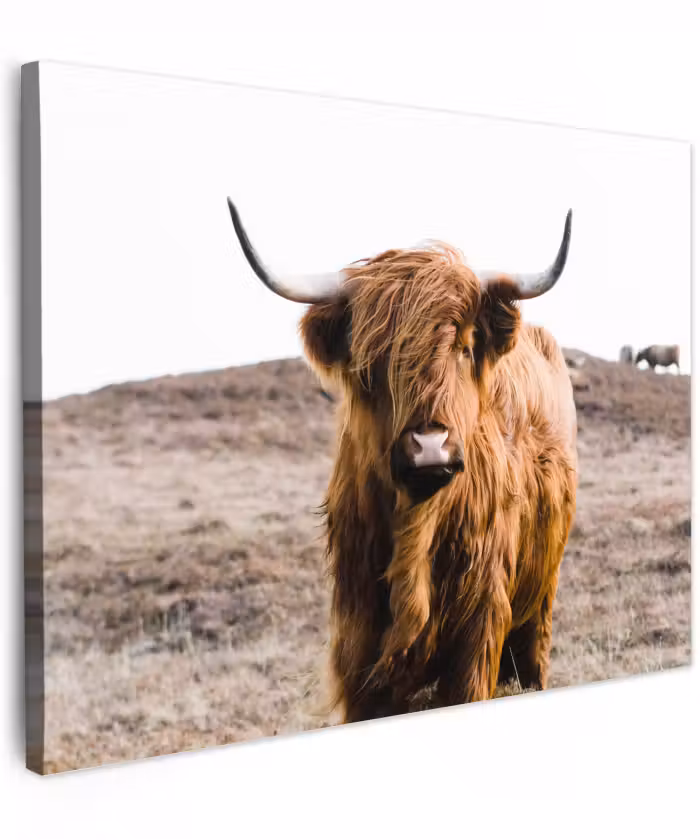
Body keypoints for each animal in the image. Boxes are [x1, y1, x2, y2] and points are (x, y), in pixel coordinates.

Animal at [227, 198, 578, 722]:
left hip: (541, 599)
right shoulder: (358, 641)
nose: (430, 445)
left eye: (464, 347)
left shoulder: (479, 631)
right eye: (371, 361)